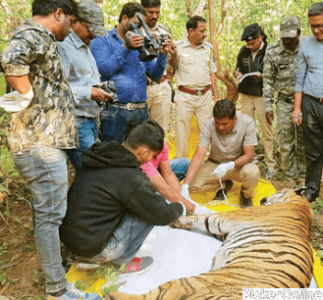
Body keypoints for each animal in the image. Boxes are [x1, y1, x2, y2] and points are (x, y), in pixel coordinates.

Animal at [106, 190, 314, 300]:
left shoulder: (226, 218)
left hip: (188, 284)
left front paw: (178, 219)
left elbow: (203, 217)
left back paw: (111, 288)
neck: (303, 208)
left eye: (276, 191)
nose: (262, 199)